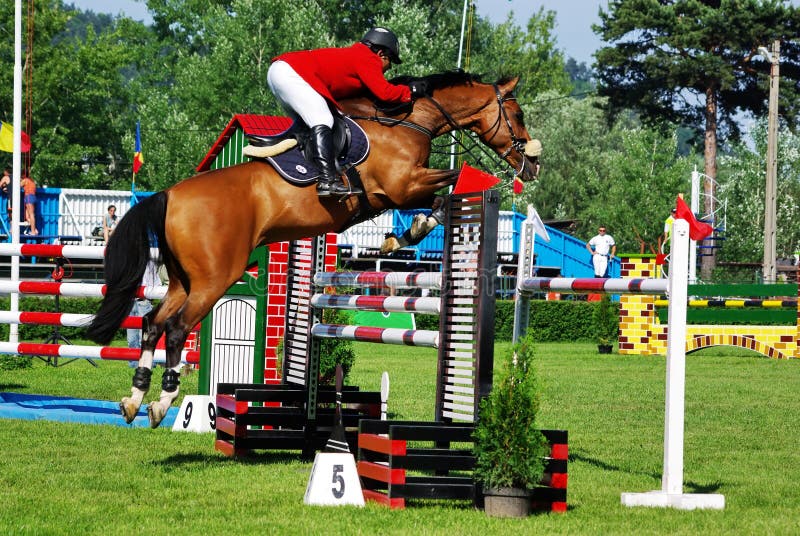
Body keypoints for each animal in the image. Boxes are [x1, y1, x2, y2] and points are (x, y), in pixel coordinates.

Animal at [86, 71, 542, 428]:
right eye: (518, 115)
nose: (532, 165)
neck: (409, 123)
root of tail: (169, 195)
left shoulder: (396, 191)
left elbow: (440, 194)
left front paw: (403, 233)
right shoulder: (400, 185)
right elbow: (449, 187)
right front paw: (411, 232)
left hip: (183, 279)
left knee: (153, 325)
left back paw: (134, 400)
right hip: (215, 279)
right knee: (178, 328)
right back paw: (162, 404)